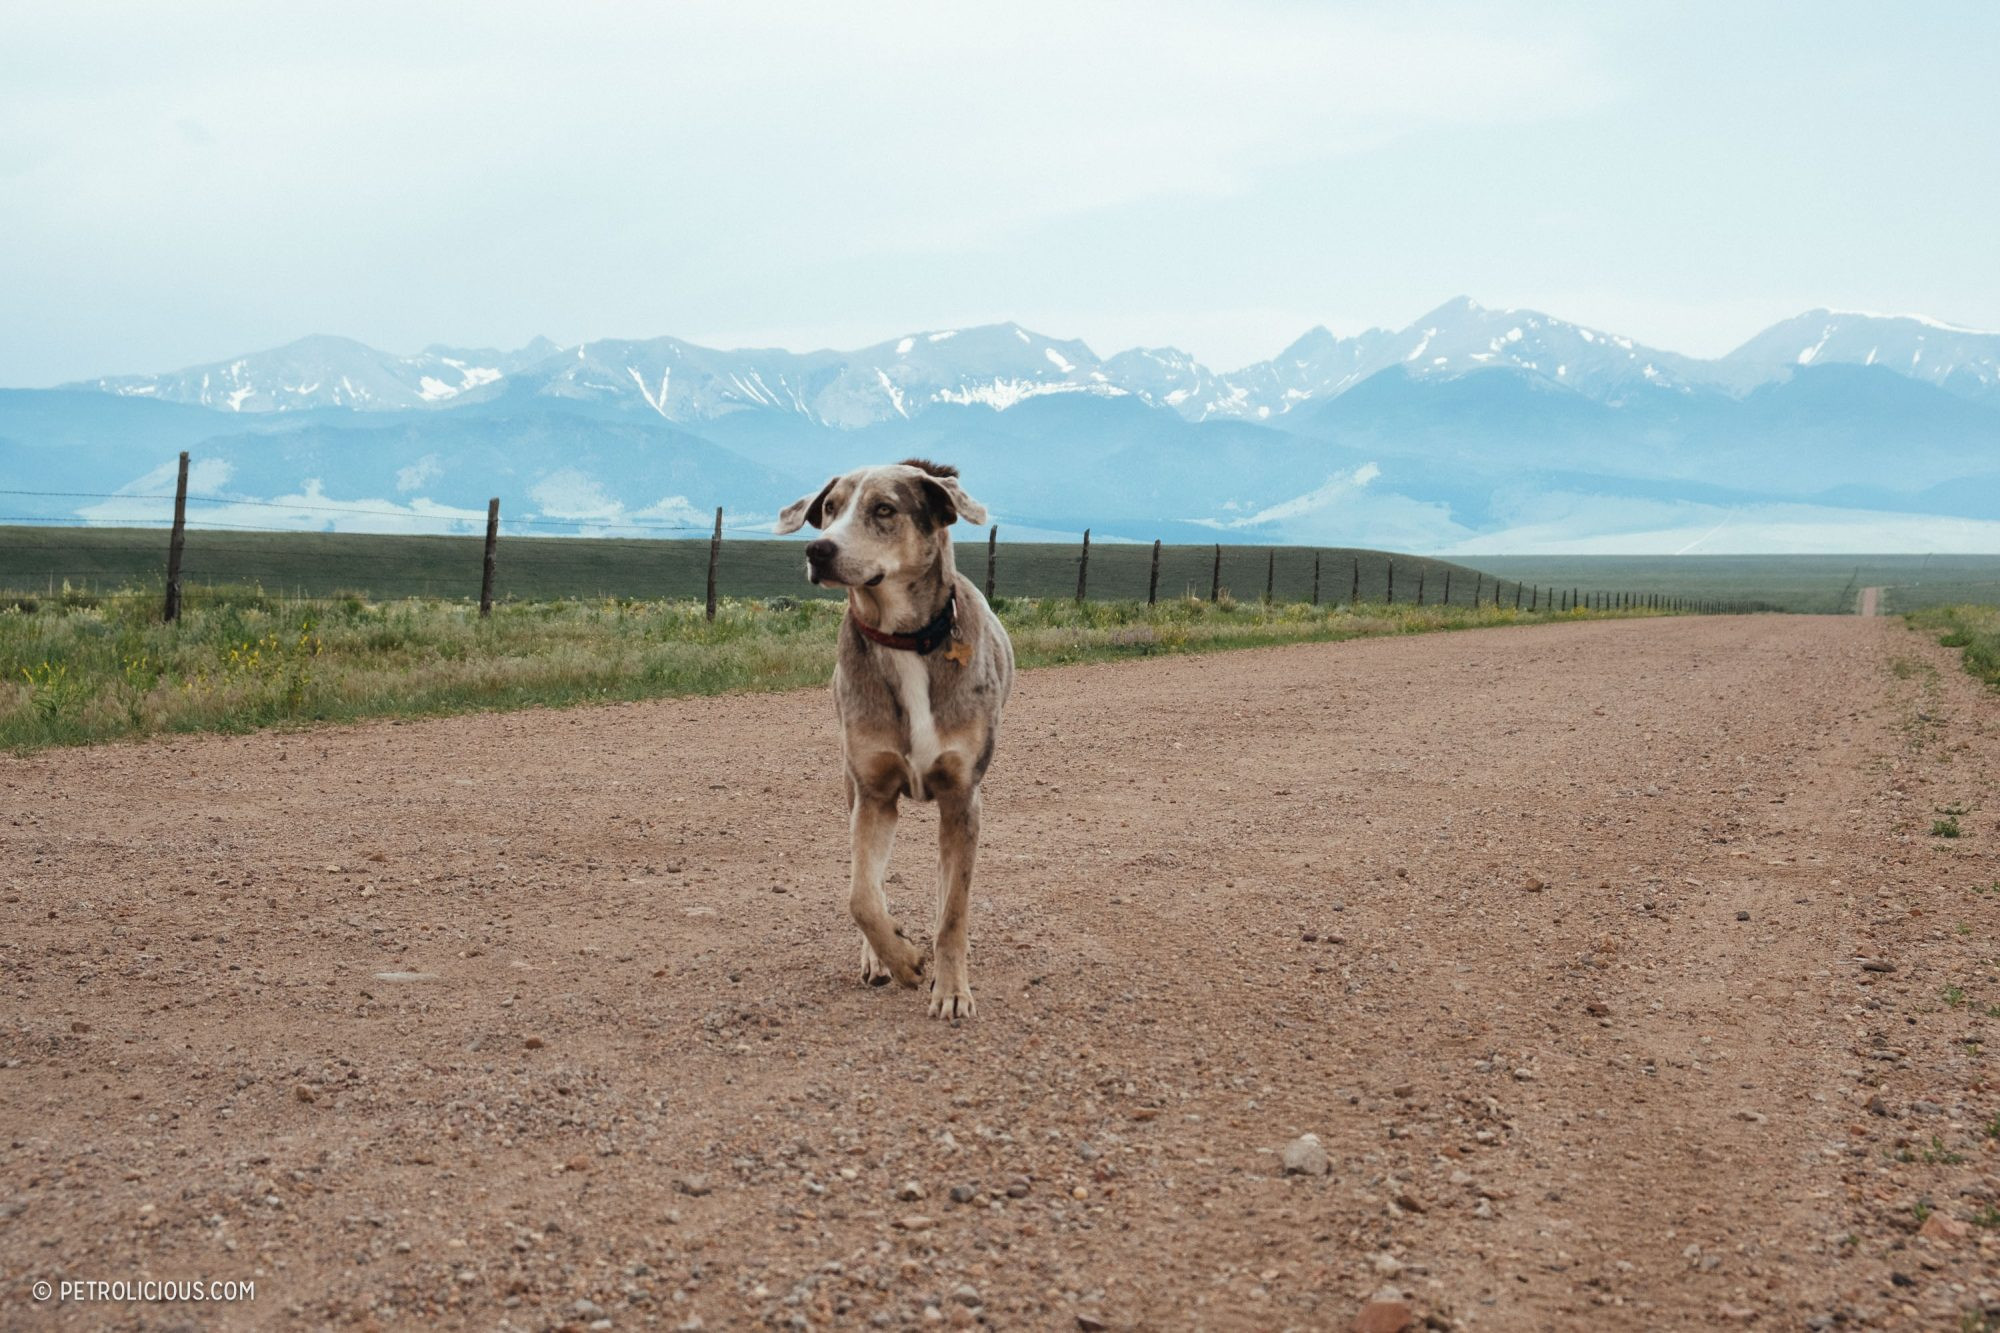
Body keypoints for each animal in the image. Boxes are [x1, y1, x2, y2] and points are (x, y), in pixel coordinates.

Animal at [768, 456, 1008, 1016]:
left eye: (884, 509)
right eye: (830, 509)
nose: (818, 550)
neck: (905, 640)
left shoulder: (963, 796)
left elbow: (954, 909)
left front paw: (951, 990)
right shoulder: (873, 791)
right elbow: (860, 896)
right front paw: (902, 959)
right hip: (852, 784)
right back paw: (880, 957)